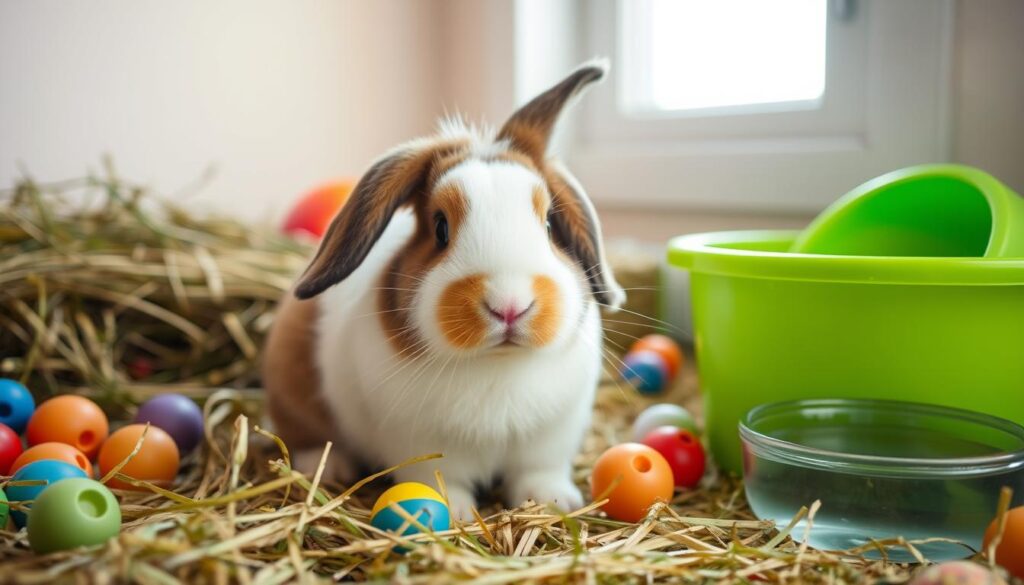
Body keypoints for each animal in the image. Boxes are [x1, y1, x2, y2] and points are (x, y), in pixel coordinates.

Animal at [262, 58, 622, 516]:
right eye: (440, 228)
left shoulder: (549, 440)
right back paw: (328, 467)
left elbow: (538, 473)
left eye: (548, 225)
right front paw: (456, 514)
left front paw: (552, 502)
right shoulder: (422, 443)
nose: (509, 306)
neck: (496, 365)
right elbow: (442, 481)